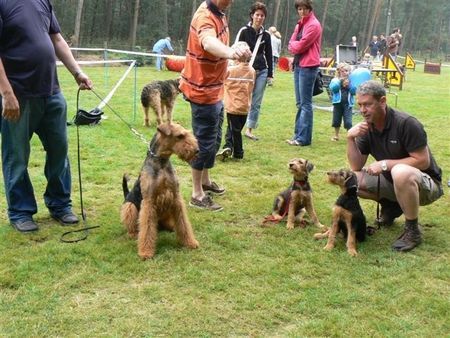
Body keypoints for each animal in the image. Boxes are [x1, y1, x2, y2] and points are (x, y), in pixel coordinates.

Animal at [119, 123, 199, 260]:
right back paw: (134, 233)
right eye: (180, 136)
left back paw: (171, 227)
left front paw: (190, 242)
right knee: (133, 224)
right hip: (130, 206)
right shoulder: (149, 201)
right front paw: (146, 252)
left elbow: (183, 223)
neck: (162, 162)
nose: (197, 150)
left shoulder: (176, 197)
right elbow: (147, 228)